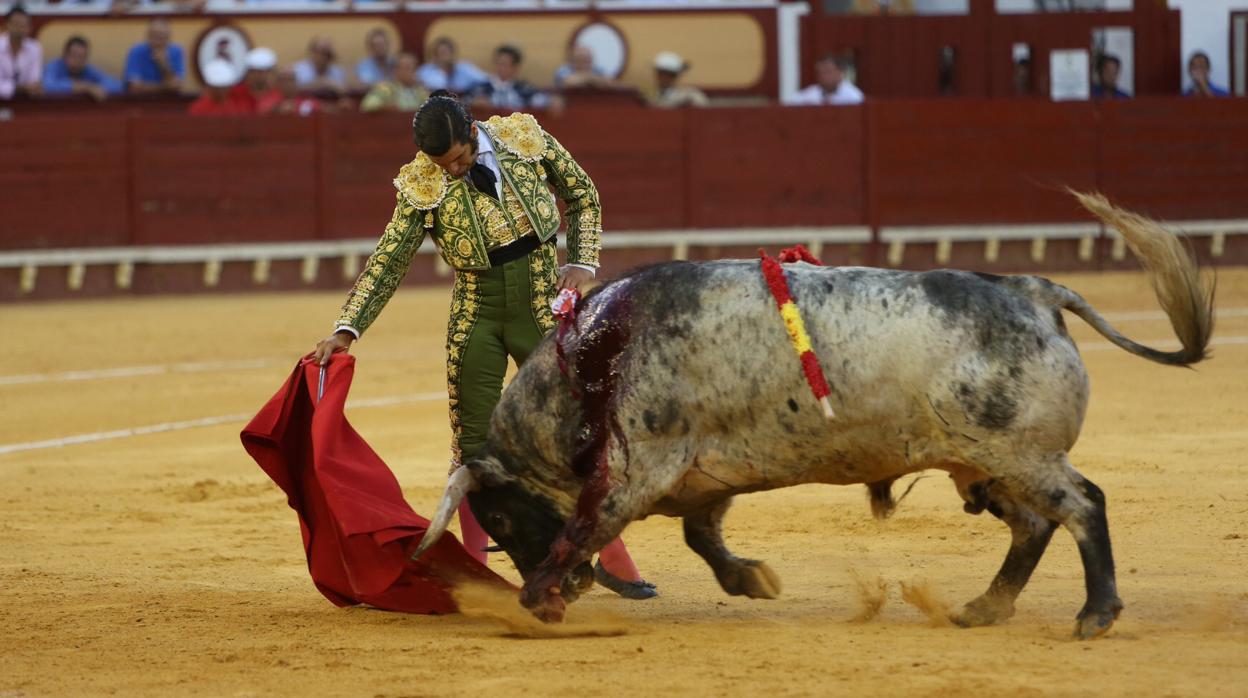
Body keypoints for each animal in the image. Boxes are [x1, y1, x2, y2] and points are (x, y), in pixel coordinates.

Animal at [414, 191, 1213, 639]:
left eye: (502, 516)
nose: (579, 590)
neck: (588, 367)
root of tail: (1035, 289)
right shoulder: (703, 477)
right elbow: (703, 537)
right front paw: (753, 581)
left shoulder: (637, 468)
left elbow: (586, 525)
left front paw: (538, 599)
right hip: (980, 462)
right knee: (1034, 526)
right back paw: (983, 609)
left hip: (1021, 454)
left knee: (1081, 506)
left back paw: (1095, 614)